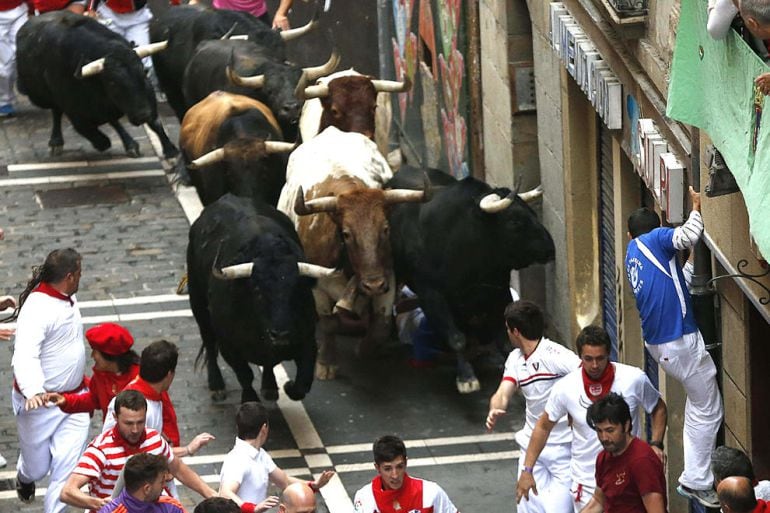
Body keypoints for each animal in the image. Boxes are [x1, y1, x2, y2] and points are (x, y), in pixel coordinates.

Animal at [16, 12, 177, 160]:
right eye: (112, 82)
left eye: (144, 73)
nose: (143, 115)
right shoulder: (74, 111)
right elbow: (93, 133)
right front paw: (103, 142)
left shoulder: (147, 97)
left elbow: (155, 123)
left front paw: (170, 150)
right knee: (56, 112)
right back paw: (56, 142)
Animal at [388, 166, 556, 390]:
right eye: (515, 221)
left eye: (533, 213)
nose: (550, 248)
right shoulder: (431, 295)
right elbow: (456, 337)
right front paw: (466, 377)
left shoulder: (498, 290)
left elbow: (503, 339)